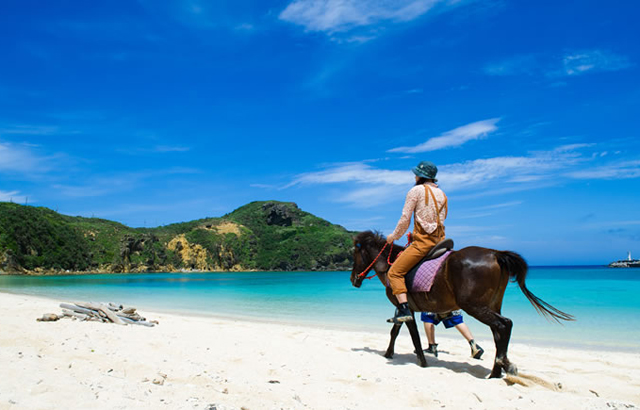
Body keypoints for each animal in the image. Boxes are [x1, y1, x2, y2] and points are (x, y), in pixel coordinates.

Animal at [350, 231, 576, 378]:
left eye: (354, 255)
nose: (353, 279)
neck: (390, 265)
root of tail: (495, 253)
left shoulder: (405, 308)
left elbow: (413, 335)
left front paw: (422, 362)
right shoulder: (404, 308)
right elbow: (395, 332)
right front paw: (389, 353)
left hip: (474, 306)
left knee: (505, 325)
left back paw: (501, 365)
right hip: (491, 306)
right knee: (498, 332)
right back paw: (497, 370)